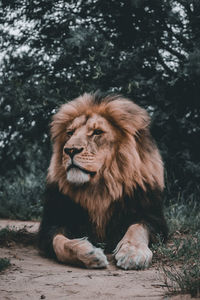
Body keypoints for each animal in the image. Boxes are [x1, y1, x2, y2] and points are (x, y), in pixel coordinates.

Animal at [38, 92, 168, 270]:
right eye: (70, 133)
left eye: (97, 132)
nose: (70, 150)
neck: (100, 188)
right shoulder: (51, 223)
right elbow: (60, 243)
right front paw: (87, 253)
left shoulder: (154, 218)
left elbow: (137, 227)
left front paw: (132, 253)